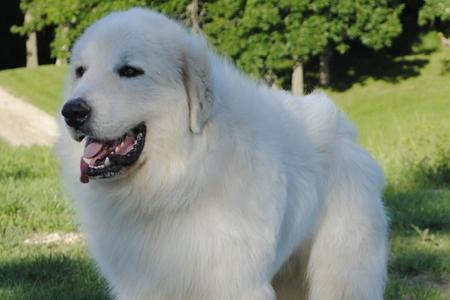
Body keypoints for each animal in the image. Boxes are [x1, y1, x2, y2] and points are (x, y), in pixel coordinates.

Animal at [55, 7, 386, 300]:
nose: (72, 112)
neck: (176, 180)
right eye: (80, 71)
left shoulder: (234, 284)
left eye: (130, 71)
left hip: (341, 274)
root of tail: (344, 128)